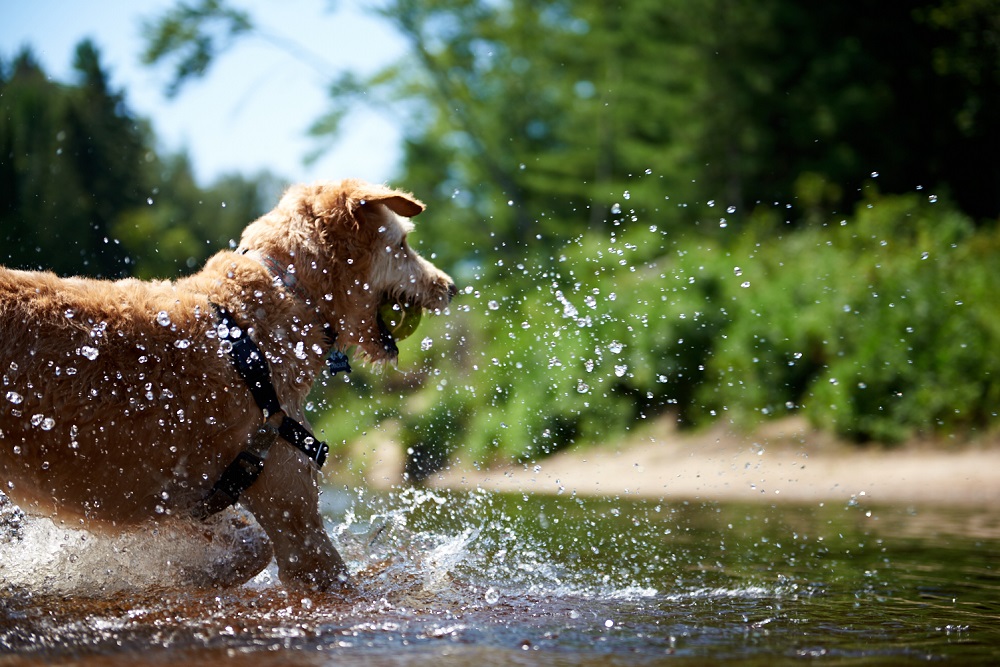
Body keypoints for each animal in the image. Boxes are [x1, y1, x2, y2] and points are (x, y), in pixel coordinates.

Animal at [0, 180, 458, 592]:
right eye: (403, 245)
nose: (451, 287)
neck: (261, 321)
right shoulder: (294, 514)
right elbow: (270, 551)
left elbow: (239, 540)